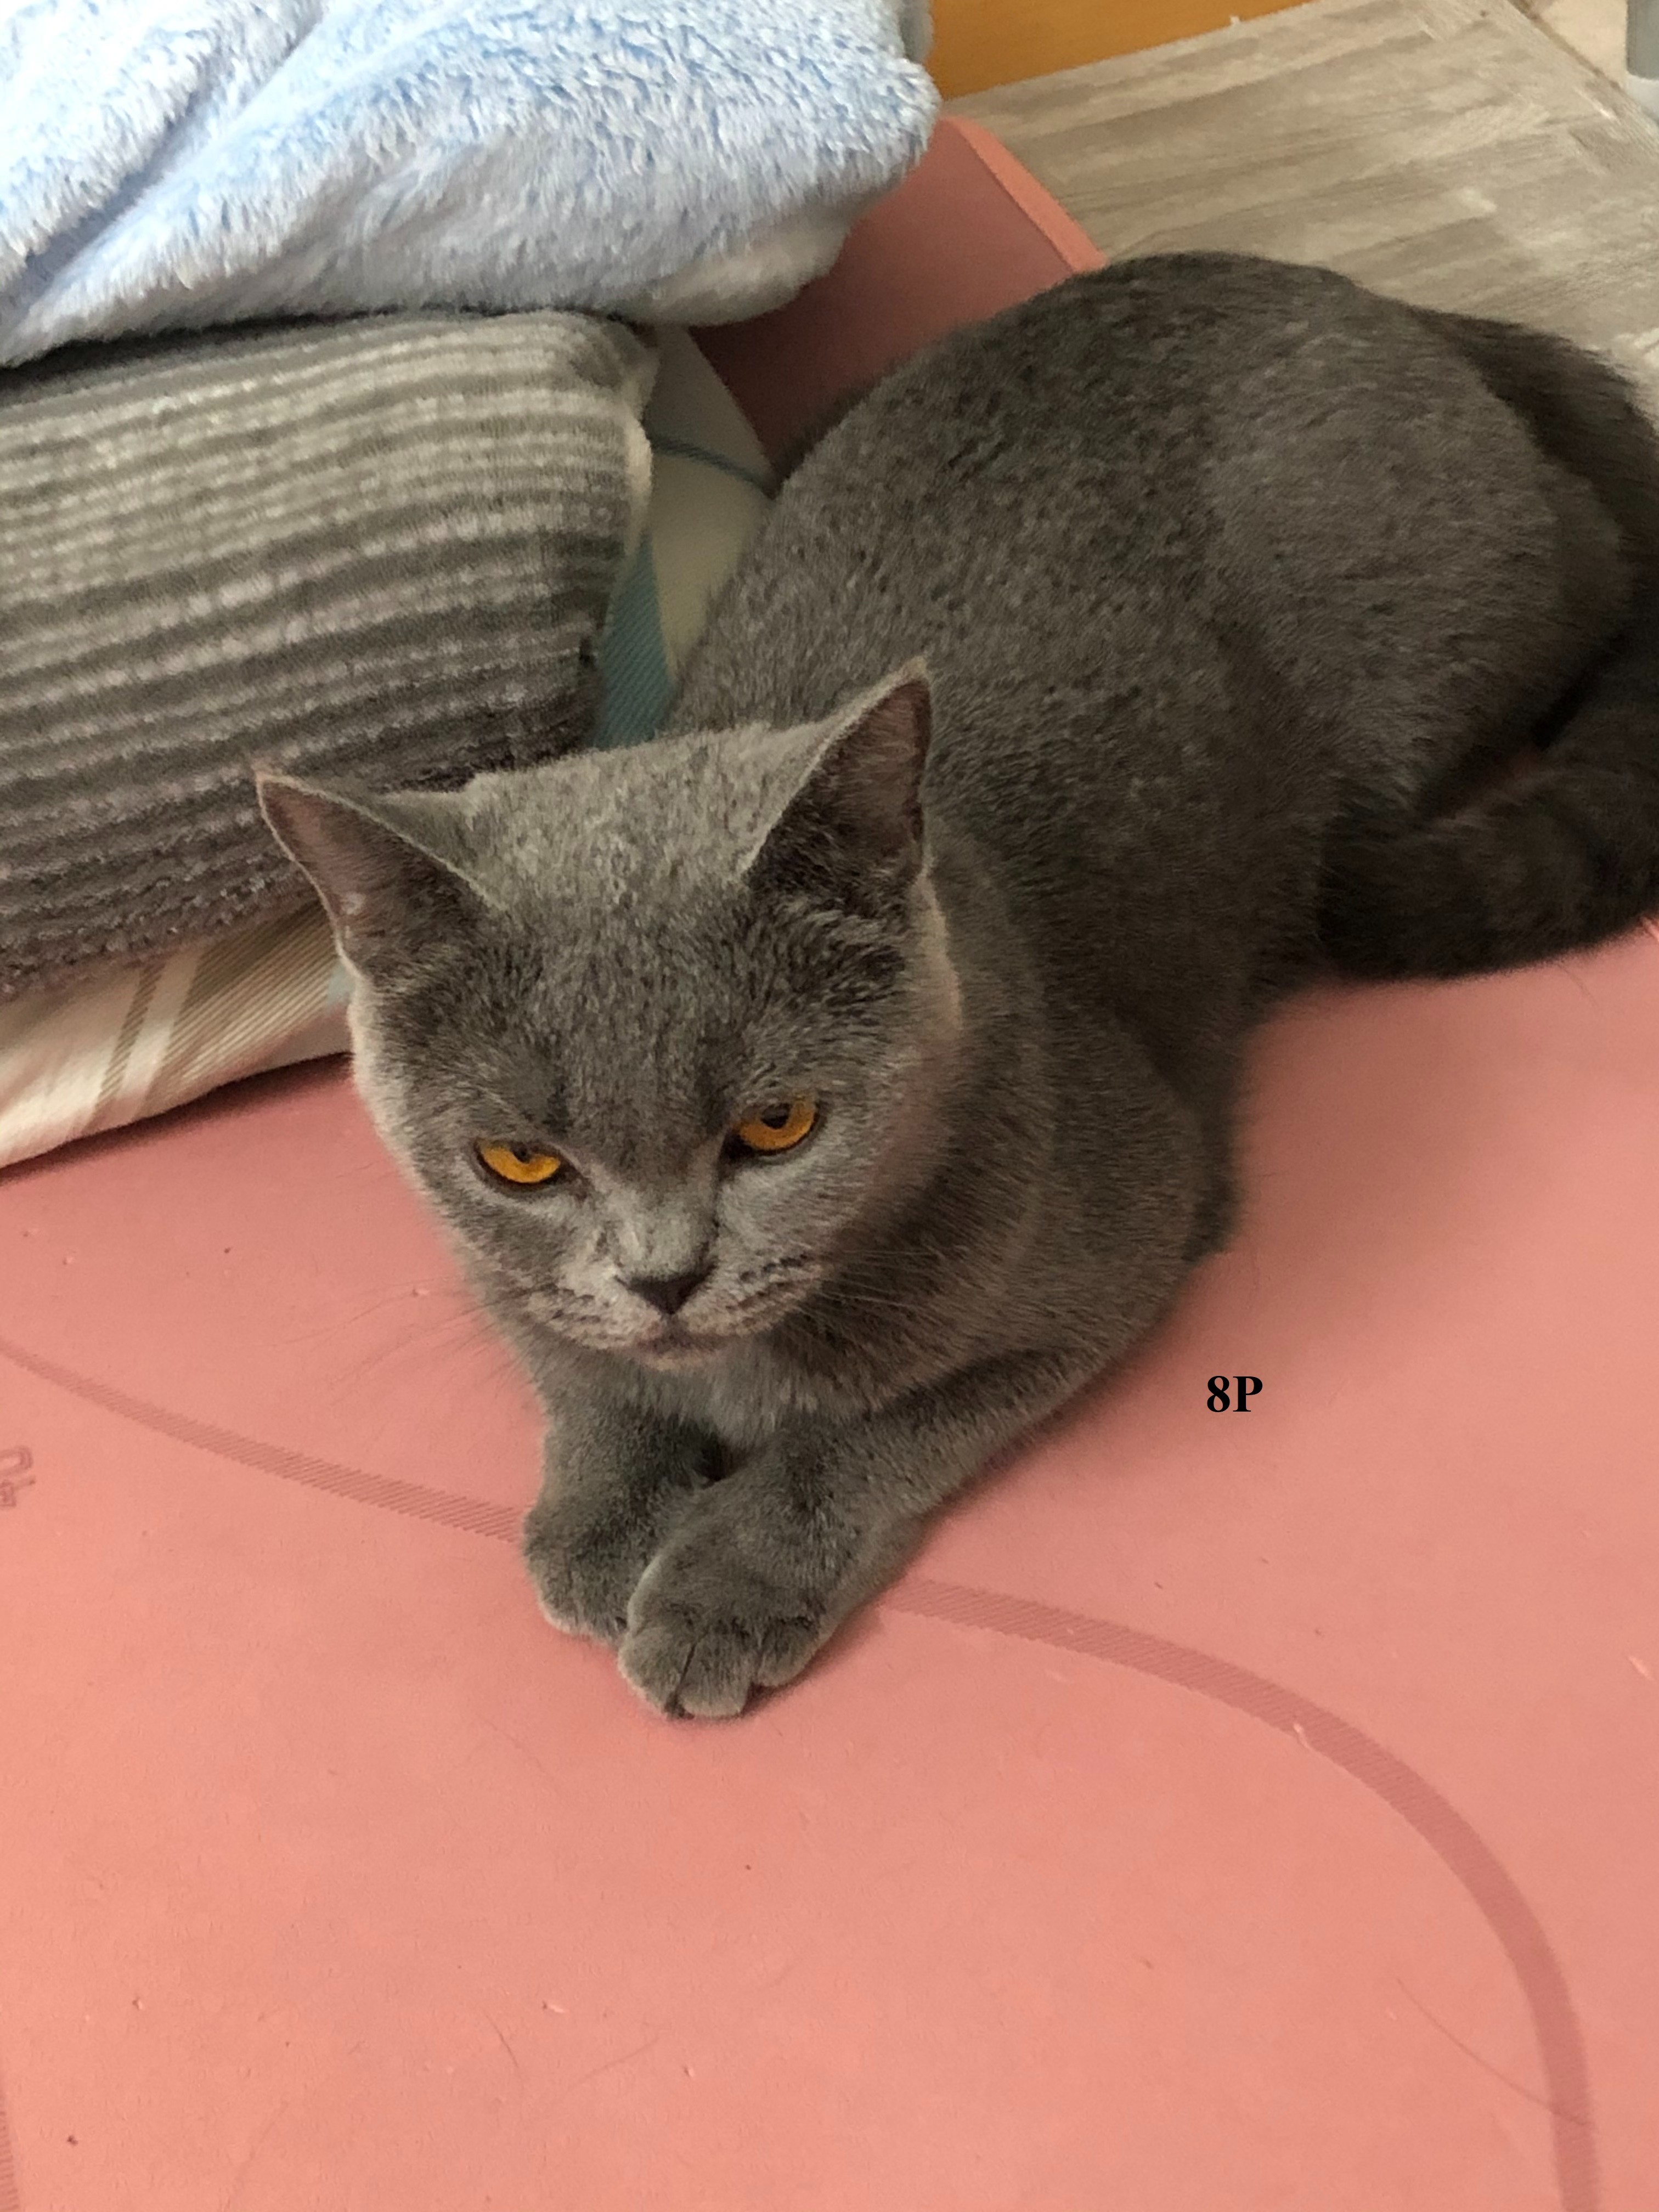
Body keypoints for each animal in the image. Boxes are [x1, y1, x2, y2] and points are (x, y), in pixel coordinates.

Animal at [259, 253, 1659, 1718]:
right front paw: (600, 1520)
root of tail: (1378, 300)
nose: (666, 1279)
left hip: (1437, 658)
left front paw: (717, 1590)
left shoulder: (1131, 1234)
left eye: (777, 1128)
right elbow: (575, 1371)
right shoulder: (496, 1271)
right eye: (520, 1162)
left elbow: (873, 1434)